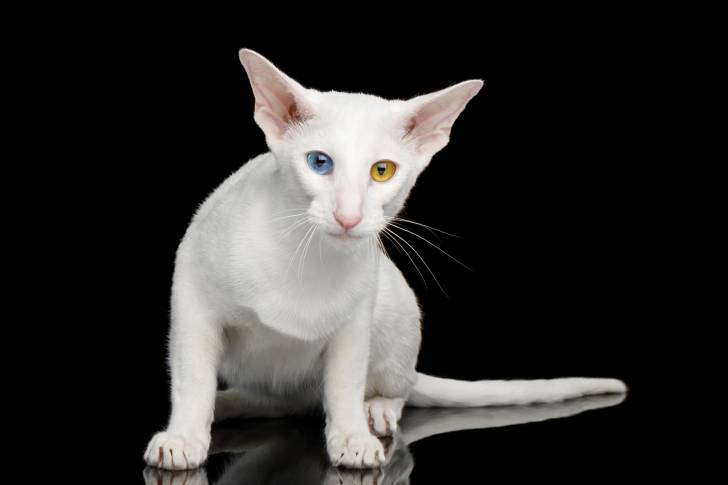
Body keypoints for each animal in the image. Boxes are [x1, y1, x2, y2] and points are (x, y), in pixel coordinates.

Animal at [144, 48, 627, 471]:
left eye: (382, 171)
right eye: (319, 163)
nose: (349, 216)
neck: (305, 255)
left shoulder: (354, 318)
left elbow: (344, 384)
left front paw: (352, 437)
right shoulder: (192, 297)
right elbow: (193, 380)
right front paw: (184, 437)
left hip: (397, 311)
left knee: (389, 387)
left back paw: (374, 412)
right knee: (279, 401)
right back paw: (226, 404)